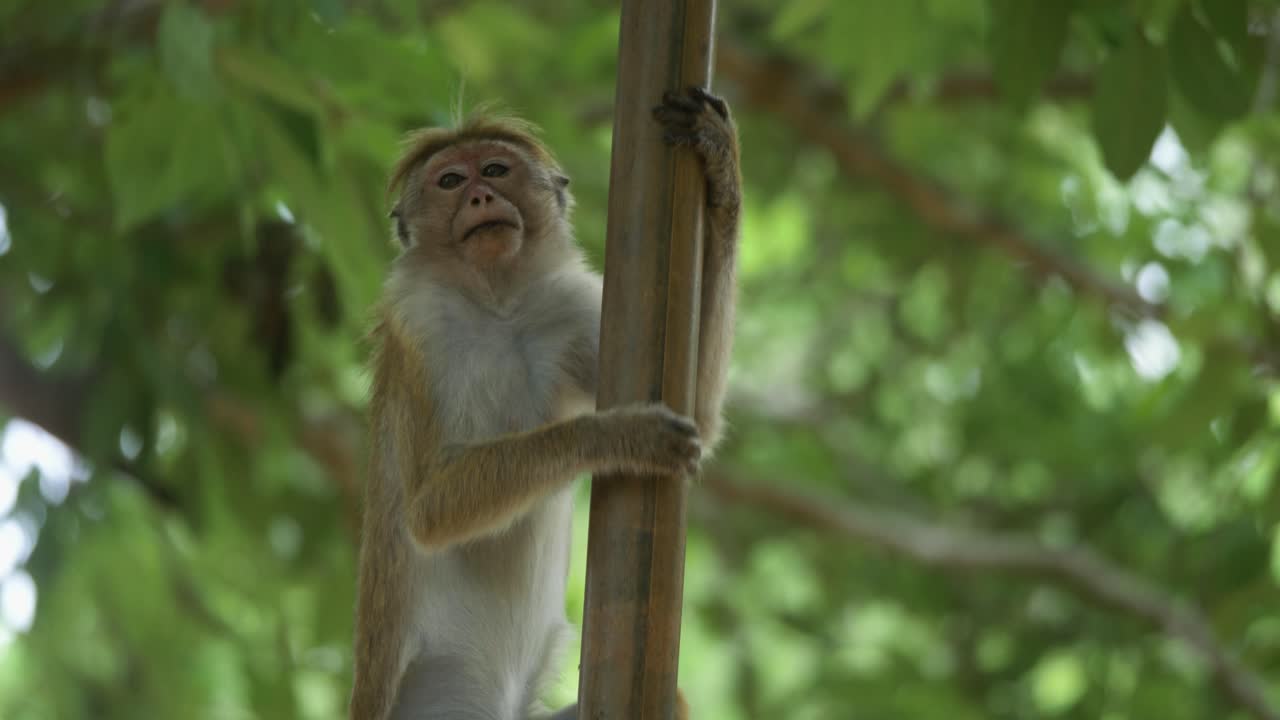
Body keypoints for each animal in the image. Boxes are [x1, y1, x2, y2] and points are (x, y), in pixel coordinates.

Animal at [349, 86, 741, 720]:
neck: (498, 302)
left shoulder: (571, 304)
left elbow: (700, 418)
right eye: (450, 180)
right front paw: (619, 436)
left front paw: (721, 163)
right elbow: (431, 510)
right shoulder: (419, 324)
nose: (480, 196)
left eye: (495, 169)